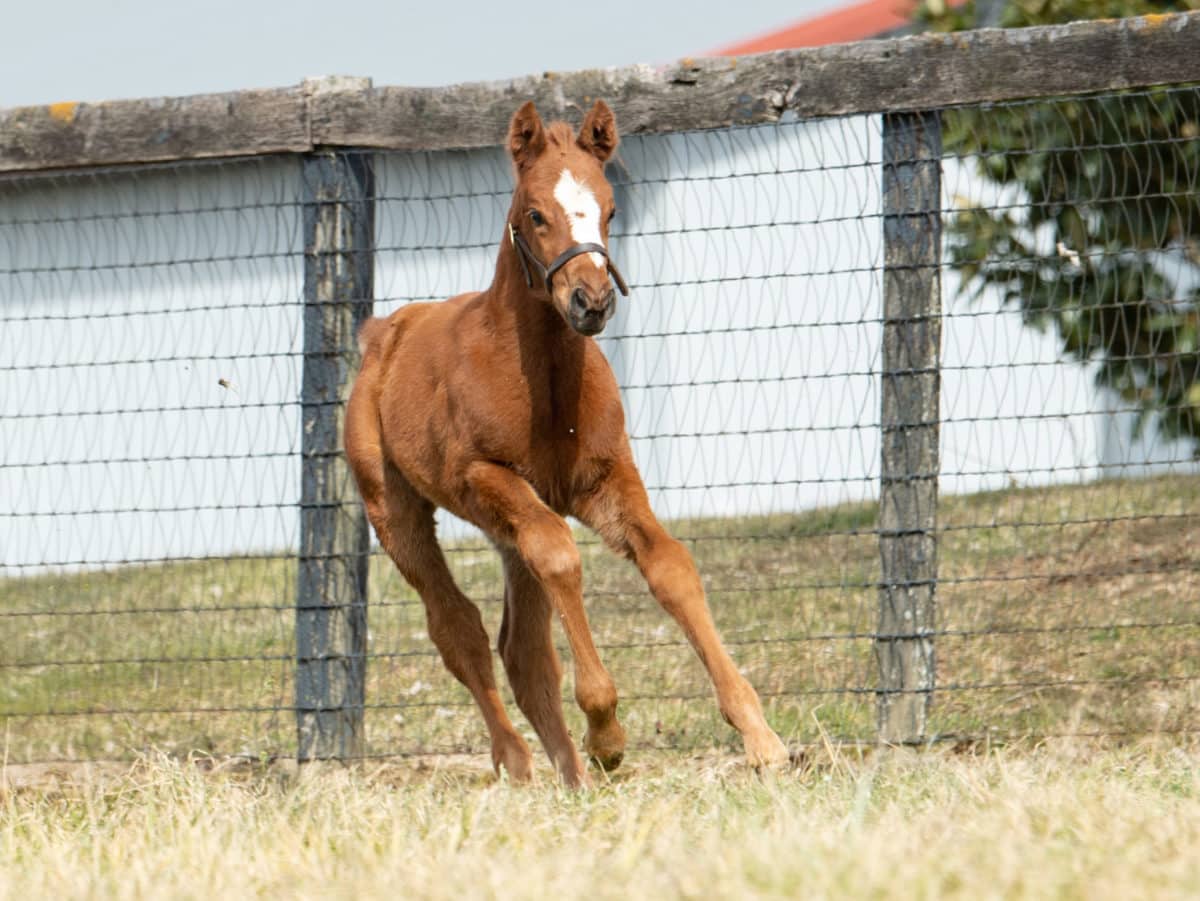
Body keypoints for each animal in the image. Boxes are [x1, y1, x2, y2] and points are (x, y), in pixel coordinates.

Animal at [345, 100, 787, 787]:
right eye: (535, 214)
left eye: (611, 208)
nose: (592, 300)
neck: (544, 384)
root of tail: (384, 331)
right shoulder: (486, 476)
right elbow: (560, 558)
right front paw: (607, 732)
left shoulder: (607, 479)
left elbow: (670, 566)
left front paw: (760, 738)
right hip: (396, 512)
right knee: (458, 627)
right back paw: (519, 760)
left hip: (506, 528)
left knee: (522, 649)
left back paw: (571, 775)